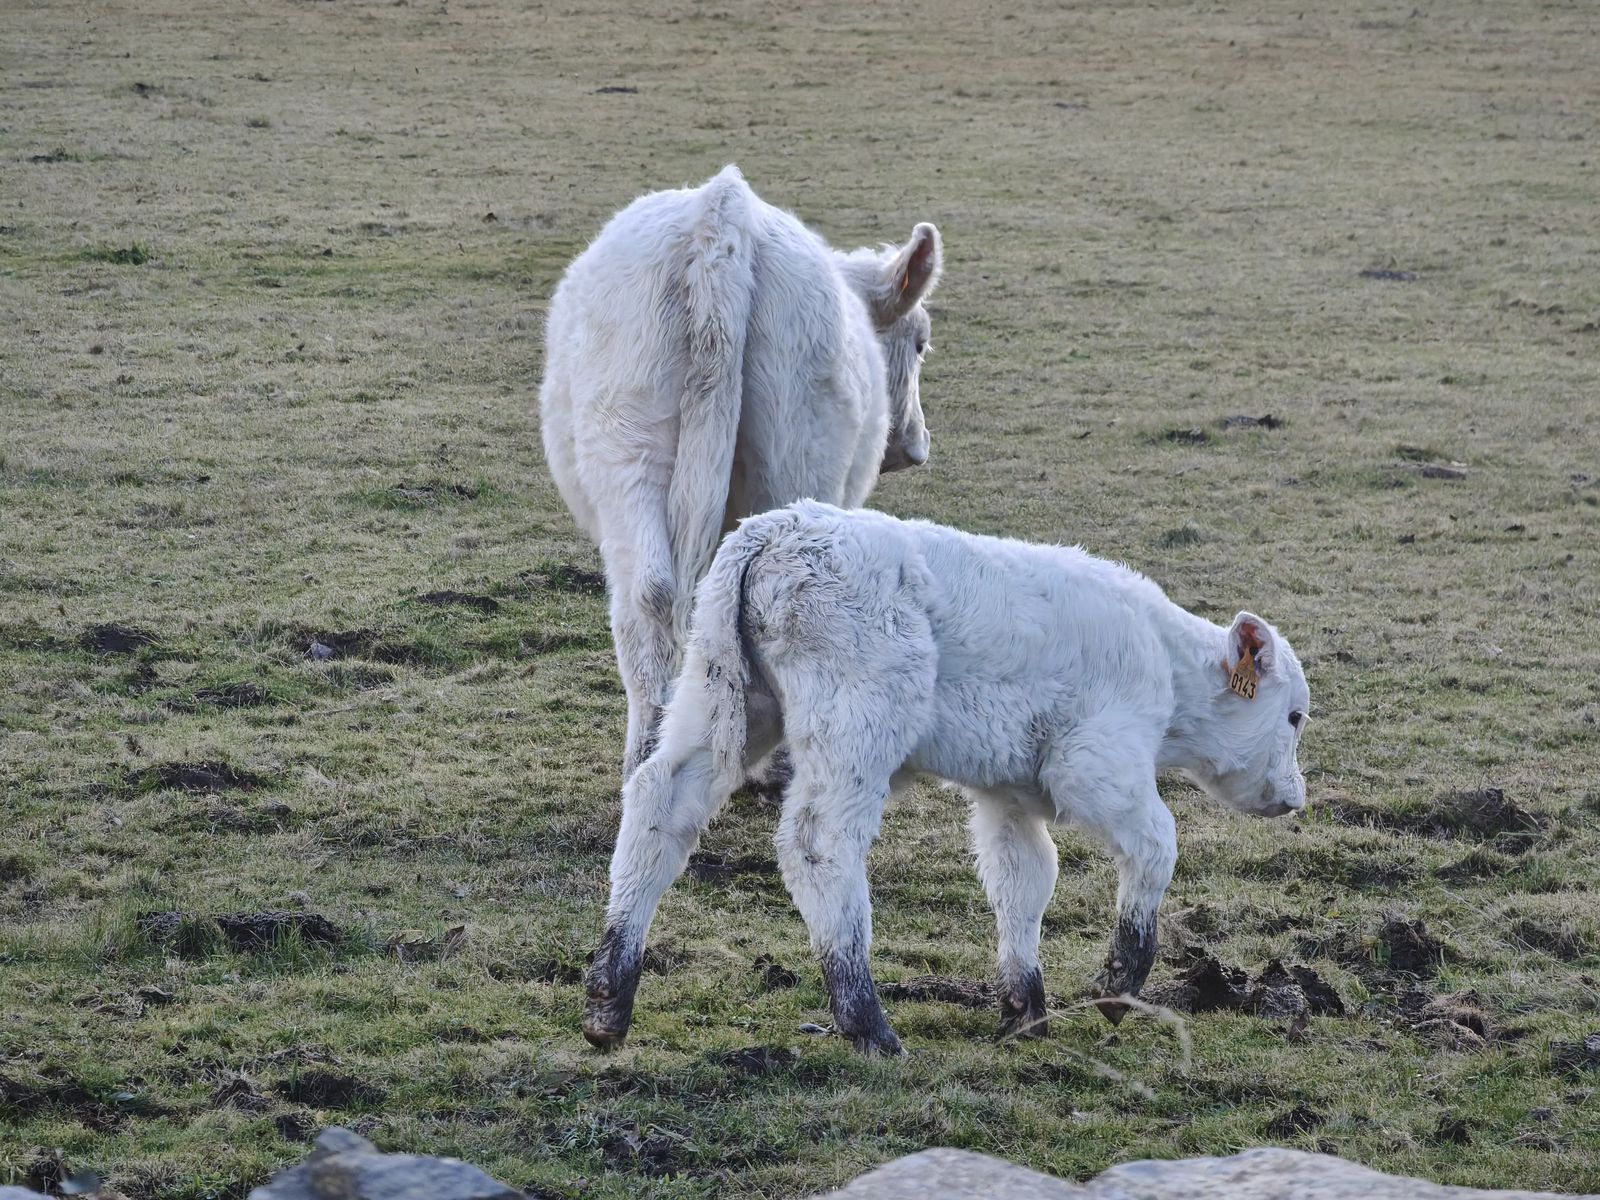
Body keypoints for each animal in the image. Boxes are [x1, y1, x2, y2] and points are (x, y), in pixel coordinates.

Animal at [539, 166, 944, 777]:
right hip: (795, 465)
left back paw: (647, 755)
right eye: (920, 343)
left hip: (626, 444)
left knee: (648, 594)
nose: (916, 445)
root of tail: (721, 216)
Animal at [583, 501, 1311, 1055]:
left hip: (718, 698)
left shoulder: (1009, 794)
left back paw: (609, 1000)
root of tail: (775, 530)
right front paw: (1119, 983)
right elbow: (1157, 842)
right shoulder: (1093, 764)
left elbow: (1024, 880)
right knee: (818, 842)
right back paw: (867, 1024)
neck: (1163, 662)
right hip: (855, 724)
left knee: (658, 802)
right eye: (1295, 715)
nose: (1296, 799)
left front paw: (1025, 1009)